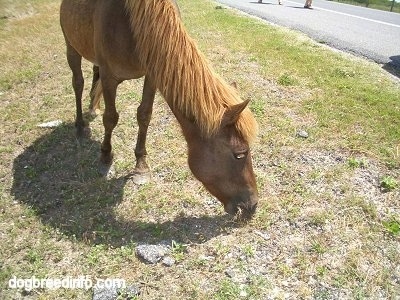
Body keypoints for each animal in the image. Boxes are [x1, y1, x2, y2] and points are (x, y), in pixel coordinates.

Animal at [59, 0, 260, 220]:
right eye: (240, 154)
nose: (253, 205)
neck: (132, 25)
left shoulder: (152, 75)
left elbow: (144, 115)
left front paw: (140, 166)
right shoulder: (109, 76)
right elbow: (111, 118)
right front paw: (105, 156)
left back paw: (92, 108)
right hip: (71, 47)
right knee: (78, 83)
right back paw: (80, 126)